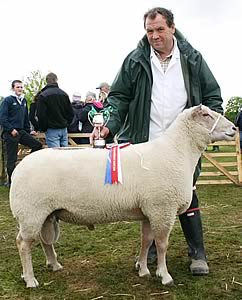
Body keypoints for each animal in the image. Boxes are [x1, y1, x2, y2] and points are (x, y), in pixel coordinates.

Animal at [9, 104, 236, 288]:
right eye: (206, 115)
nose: (234, 129)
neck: (176, 153)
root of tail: (19, 167)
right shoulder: (162, 208)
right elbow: (162, 245)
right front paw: (164, 275)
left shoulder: (149, 211)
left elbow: (146, 240)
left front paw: (143, 269)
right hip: (30, 213)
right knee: (23, 244)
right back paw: (30, 279)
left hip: (45, 213)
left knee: (44, 241)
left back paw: (54, 265)